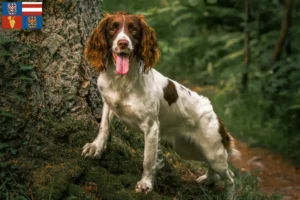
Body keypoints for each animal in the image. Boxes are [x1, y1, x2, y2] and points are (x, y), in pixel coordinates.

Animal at [81, 11, 239, 199]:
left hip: (213, 150)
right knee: (214, 170)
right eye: (113, 28)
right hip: (188, 149)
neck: (123, 81)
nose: (122, 43)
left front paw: (145, 185)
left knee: (230, 177)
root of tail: (214, 112)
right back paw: (207, 179)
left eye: (133, 29)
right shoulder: (108, 103)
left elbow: (148, 160)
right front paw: (96, 148)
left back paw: (228, 194)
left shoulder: (151, 127)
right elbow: (104, 127)